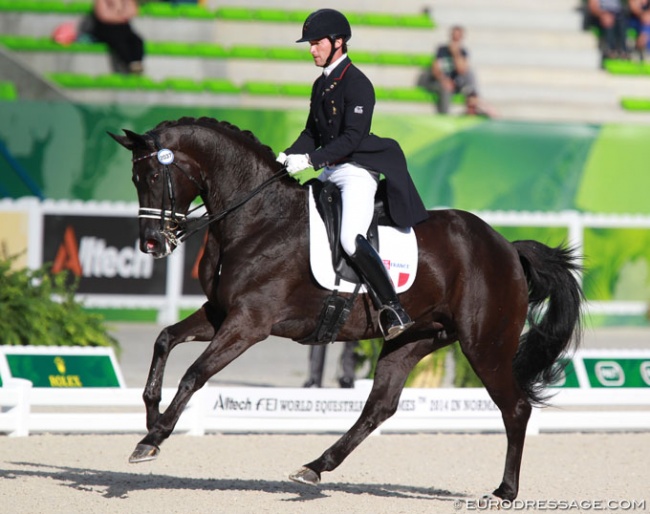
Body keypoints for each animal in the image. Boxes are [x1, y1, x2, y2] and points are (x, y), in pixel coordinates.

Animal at [110, 117, 584, 500]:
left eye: (153, 174)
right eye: (133, 177)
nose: (151, 244)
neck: (259, 218)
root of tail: (505, 246)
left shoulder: (249, 323)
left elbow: (194, 374)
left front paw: (154, 438)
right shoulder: (220, 313)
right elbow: (165, 340)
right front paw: (150, 419)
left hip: (485, 346)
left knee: (515, 408)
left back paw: (505, 491)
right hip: (412, 339)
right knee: (379, 407)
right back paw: (314, 468)